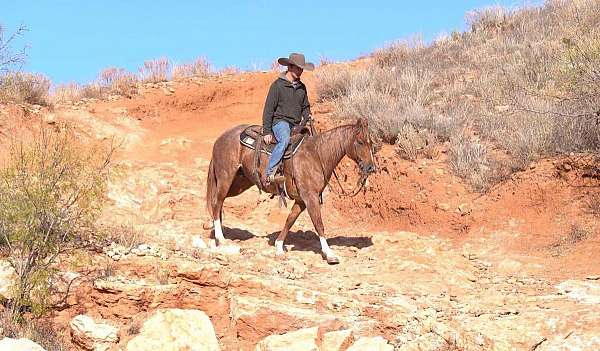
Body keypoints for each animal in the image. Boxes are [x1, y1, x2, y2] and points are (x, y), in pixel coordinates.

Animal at [206, 118, 376, 264]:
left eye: (371, 143)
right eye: (360, 142)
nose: (370, 167)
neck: (317, 156)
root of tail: (221, 137)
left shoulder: (301, 200)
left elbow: (290, 220)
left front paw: (279, 246)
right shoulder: (310, 197)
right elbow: (318, 224)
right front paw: (329, 254)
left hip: (239, 183)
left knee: (218, 203)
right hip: (226, 177)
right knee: (217, 202)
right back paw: (220, 238)